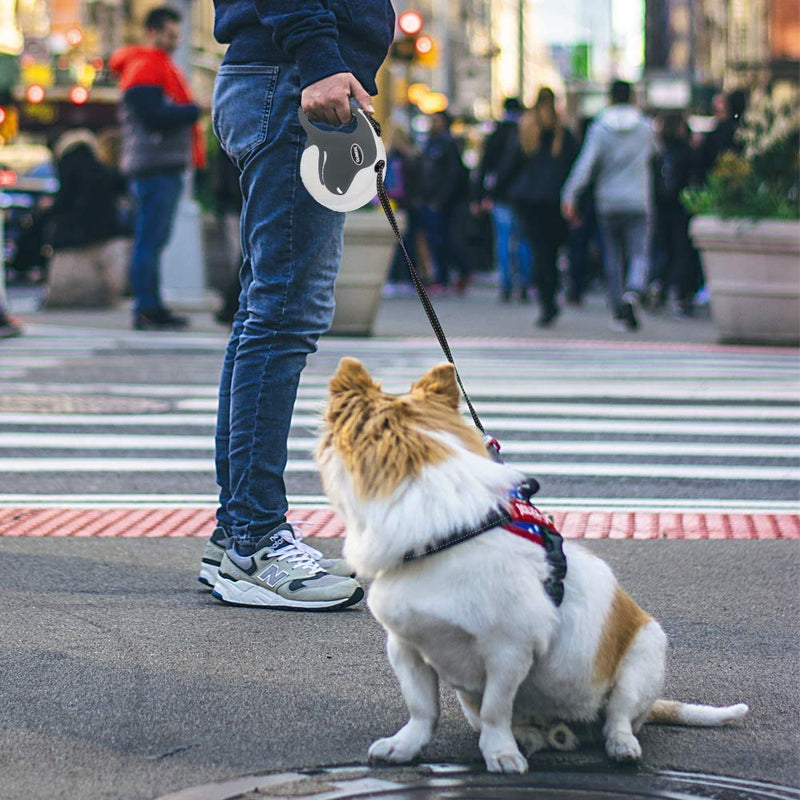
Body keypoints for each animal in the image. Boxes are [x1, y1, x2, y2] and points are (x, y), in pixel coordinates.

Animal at [314, 360, 752, 772]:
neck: (447, 536)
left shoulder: (508, 651)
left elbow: (496, 710)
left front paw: (500, 754)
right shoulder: (406, 647)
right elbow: (423, 709)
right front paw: (406, 747)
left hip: (643, 655)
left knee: (619, 716)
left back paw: (618, 745)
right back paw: (539, 735)